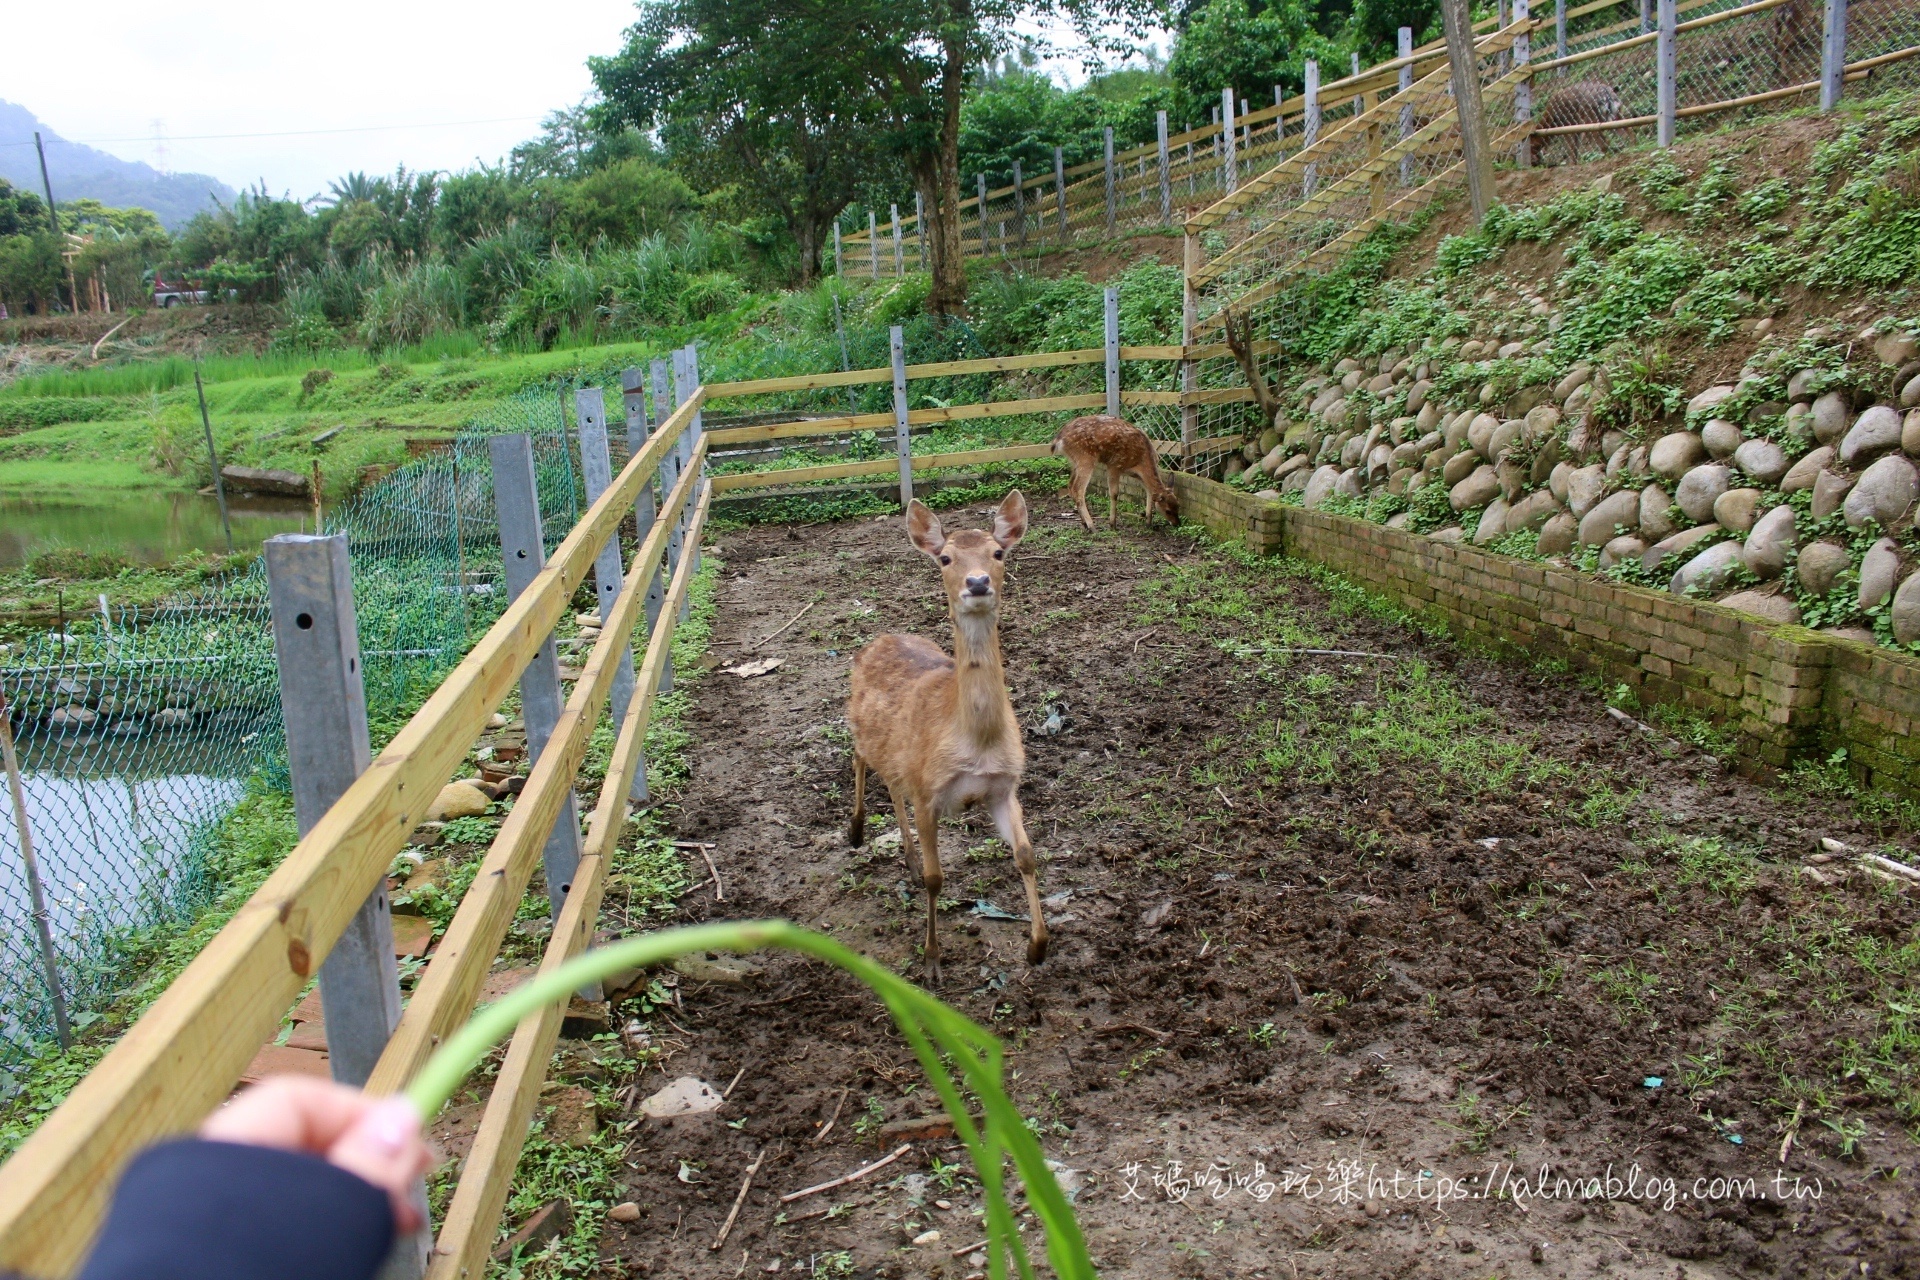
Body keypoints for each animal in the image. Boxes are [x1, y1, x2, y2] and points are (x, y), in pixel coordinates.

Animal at [848, 491, 1044, 982]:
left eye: (998, 552)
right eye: (945, 558)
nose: (976, 582)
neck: (976, 742)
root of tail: (876, 639)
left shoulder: (1003, 787)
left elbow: (1027, 854)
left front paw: (1037, 948)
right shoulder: (928, 792)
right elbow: (938, 879)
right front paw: (932, 961)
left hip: (897, 753)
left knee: (890, 781)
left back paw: (909, 858)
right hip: (860, 725)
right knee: (859, 757)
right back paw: (857, 830)